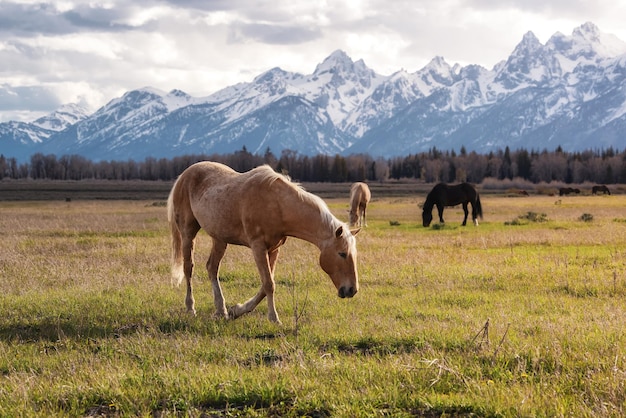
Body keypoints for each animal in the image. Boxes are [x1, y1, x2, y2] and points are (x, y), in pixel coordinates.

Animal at [167, 161, 360, 324]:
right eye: (342, 253)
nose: (352, 290)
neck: (277, 204)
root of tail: (184, 175)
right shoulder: (258, 247)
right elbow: (268, 284)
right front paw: (274, 318)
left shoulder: (273, 249)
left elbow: (266, 284)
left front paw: (237, 310)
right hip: (188, 233)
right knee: (188, 268)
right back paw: (190, 308)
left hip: (219, 239)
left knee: (212, 268)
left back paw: (221, 310)